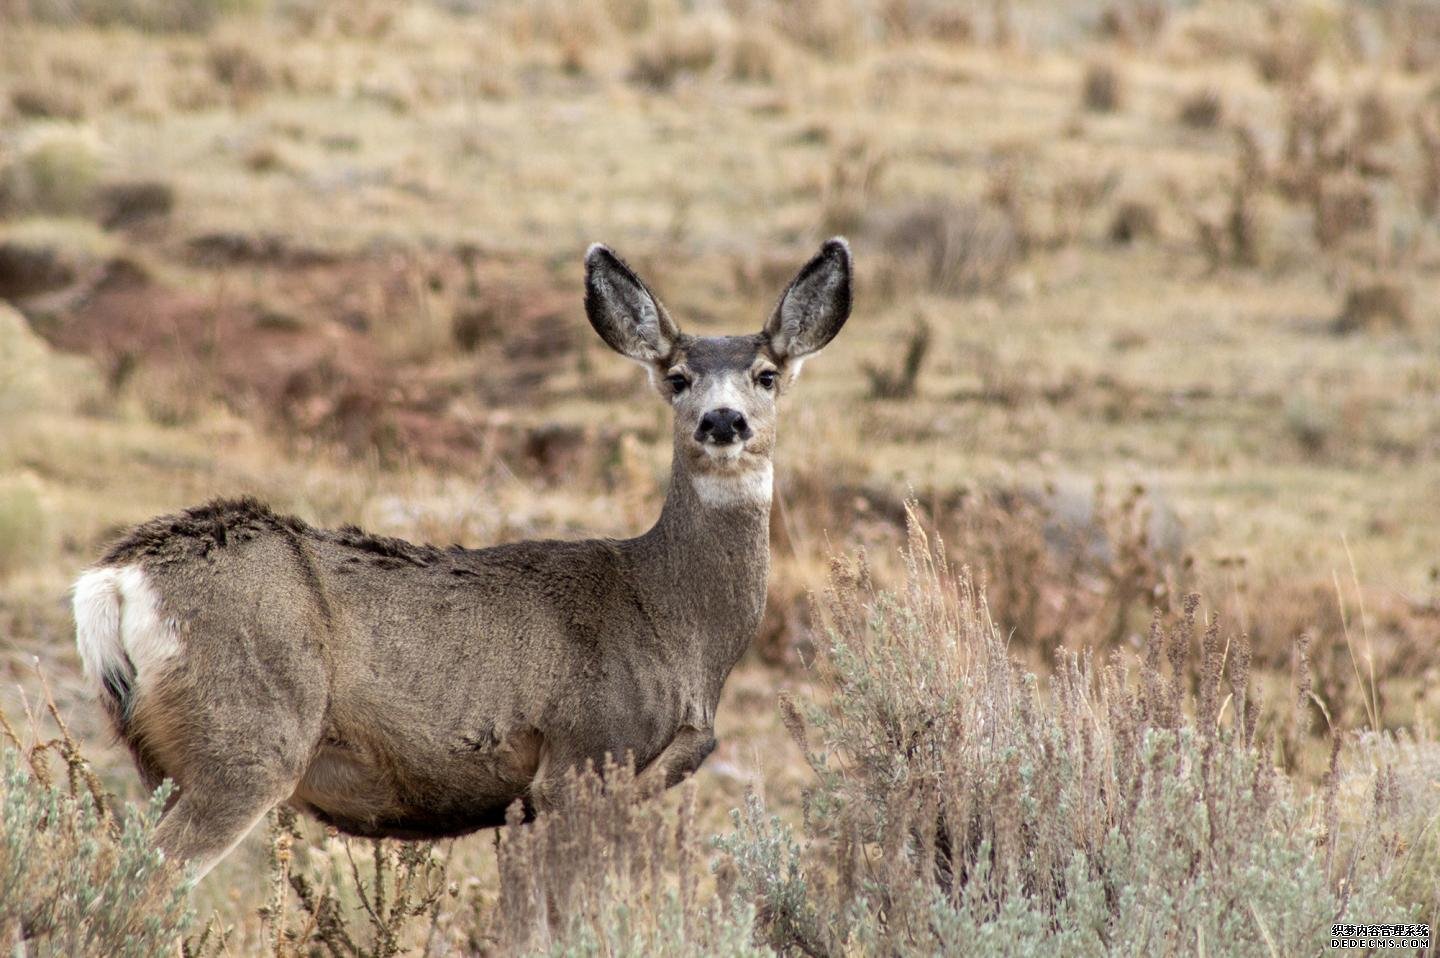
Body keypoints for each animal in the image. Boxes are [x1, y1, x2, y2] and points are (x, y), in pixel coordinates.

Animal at [73, 237, 846, 875]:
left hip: (162, 758)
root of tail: (115, 579)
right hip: (246, 739)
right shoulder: (582, 757)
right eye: (679, 377)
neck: (674, 618)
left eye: (767, 374)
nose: (724, 421)